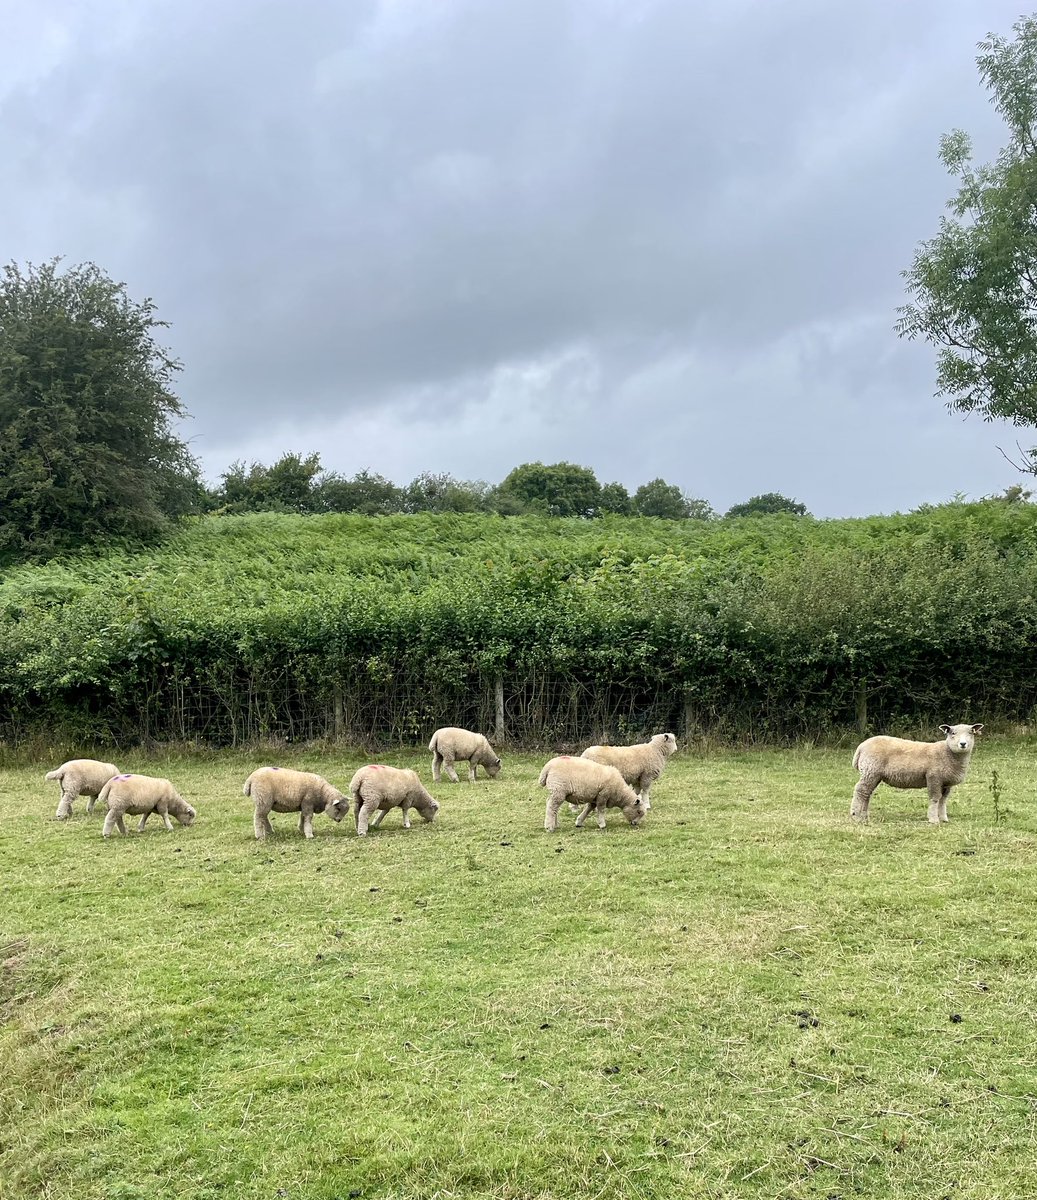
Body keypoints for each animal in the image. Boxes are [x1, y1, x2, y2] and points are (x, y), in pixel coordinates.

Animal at [844, 720, 984, 825]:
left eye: (971, 733)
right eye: (953, 733)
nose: (963, 744)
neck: (948, 753)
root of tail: (861, 746)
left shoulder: (946, 782)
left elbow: (943, 800)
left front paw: (944, 818)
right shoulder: (933, 777)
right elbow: (935, 798)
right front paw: (933, 819)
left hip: (873, 774)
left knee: (867, 793)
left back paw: (864, 815)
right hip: (870, 770)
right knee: (861, 790)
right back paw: (856, 815)